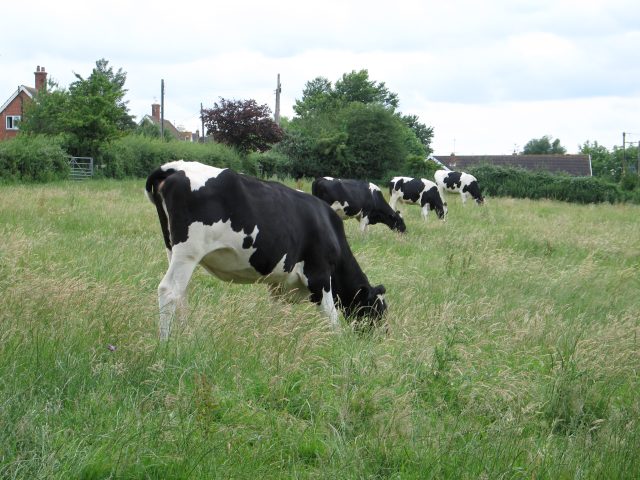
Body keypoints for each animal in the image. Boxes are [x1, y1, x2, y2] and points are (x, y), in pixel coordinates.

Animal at [146, 159, 384, 340]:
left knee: (181, 293)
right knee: (169, 291)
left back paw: (186, 335)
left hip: (173, 250)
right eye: (378, 309)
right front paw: (338, 343)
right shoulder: (319, 275)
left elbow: (275, 312)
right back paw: (166, 343)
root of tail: (175, 167)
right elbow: (331, 315)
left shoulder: (278, 284)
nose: (382, 336)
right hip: (188, 251)